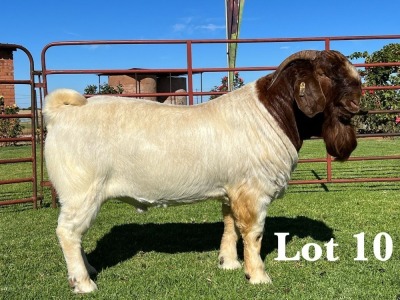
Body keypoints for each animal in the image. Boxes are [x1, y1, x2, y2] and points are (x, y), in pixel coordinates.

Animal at [44, 49, 362, 292]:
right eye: (325, 74)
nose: (358, 100)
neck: (273, 114)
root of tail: (60, 113)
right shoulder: (253, 190)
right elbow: (253, 233)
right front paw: (258, 276)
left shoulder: (233, 188)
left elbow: (230, 225)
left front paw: (229, 263)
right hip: (82, 191)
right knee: (68, 232)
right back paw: (83, 283)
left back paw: (89, 270)